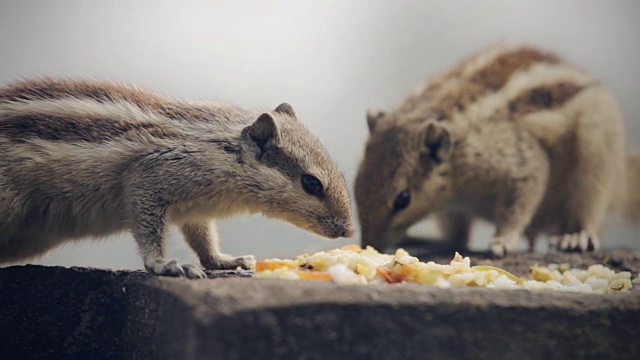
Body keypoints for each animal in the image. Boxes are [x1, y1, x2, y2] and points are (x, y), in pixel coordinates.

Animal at [0, 78, 356, 278]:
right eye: (311, 184)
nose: (348, 231)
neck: (222, 149)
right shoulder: (152, 176)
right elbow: (150, 227)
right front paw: (163, 264)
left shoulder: (195, 210)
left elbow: (203, 240)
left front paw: (225, 261)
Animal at [356, 41, 636, 256]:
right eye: (357, 185)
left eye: (403, 199)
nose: (370, 245)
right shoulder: (452, 205)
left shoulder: (520, 161)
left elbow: (521, 199)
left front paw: (503, 240)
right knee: (457, 239)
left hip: (597, 153)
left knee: (587, 208)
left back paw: (576, 236)